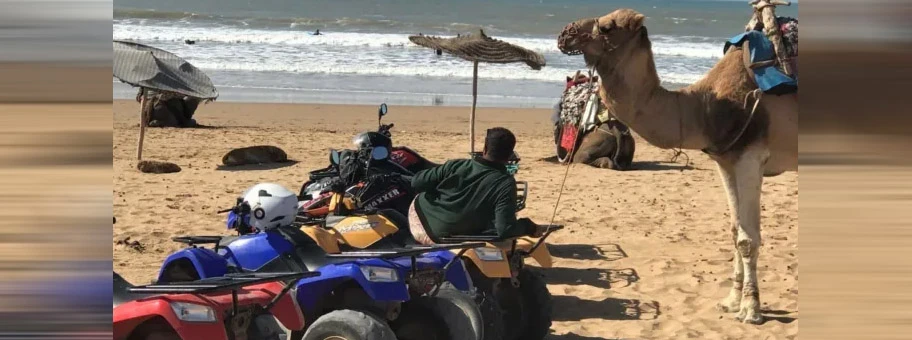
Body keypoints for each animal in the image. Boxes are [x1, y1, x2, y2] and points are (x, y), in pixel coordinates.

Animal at [556, 8, 800, 324]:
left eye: (607, 26)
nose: (565, 33)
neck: (704, 107)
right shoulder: (726, 160)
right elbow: (735, 232)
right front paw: (731, 302)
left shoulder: (751, 157)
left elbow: (748, 239)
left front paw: (751, 310)